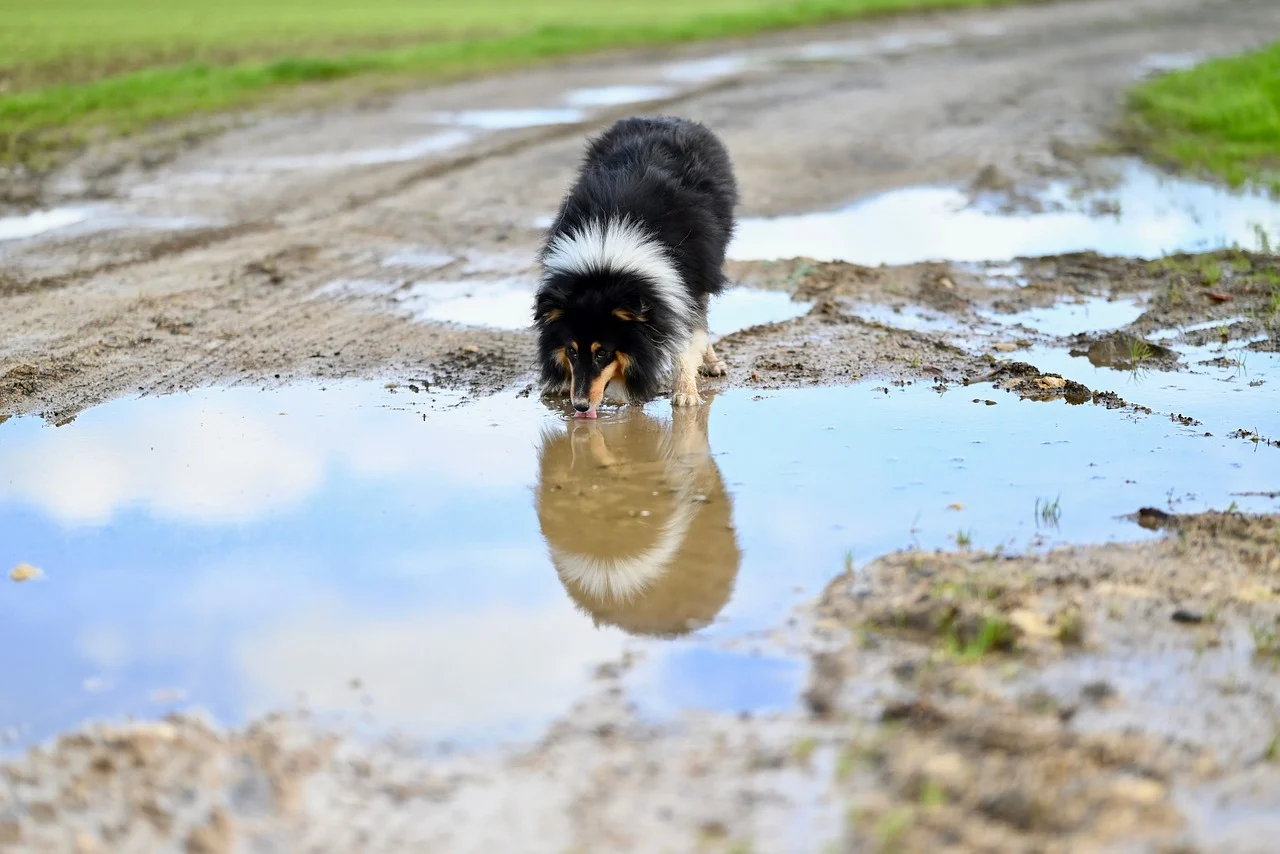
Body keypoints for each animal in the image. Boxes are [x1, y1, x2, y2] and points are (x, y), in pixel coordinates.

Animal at [529, 115, 737, 417]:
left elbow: (686, 337)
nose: (580, 406)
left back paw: (712, 365)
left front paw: (685, 395)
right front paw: (558, 384)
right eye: (572, 351)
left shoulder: (684, 281)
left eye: (602, 352)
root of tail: (666, 117)